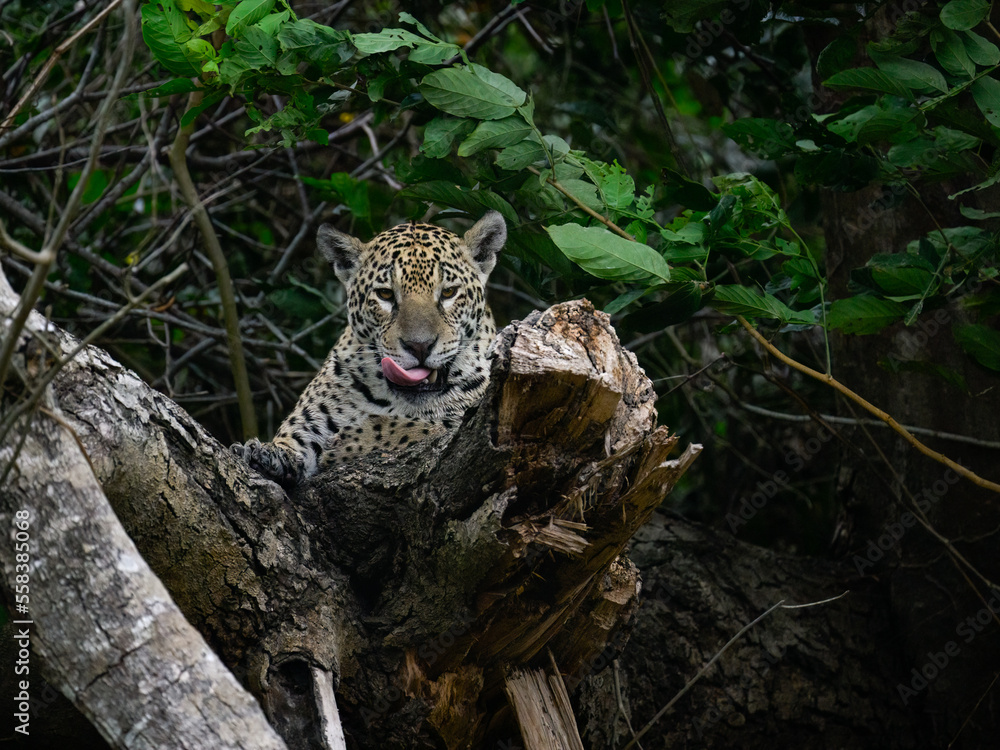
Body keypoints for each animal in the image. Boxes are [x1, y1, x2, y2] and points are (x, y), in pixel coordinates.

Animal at [231, 211, 506, 488]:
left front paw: (349, 441)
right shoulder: (307, 424)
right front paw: (264, 453)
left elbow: (420, 429)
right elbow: (292, 439)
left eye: (449, 292)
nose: (419, 346)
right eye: (385, 294)